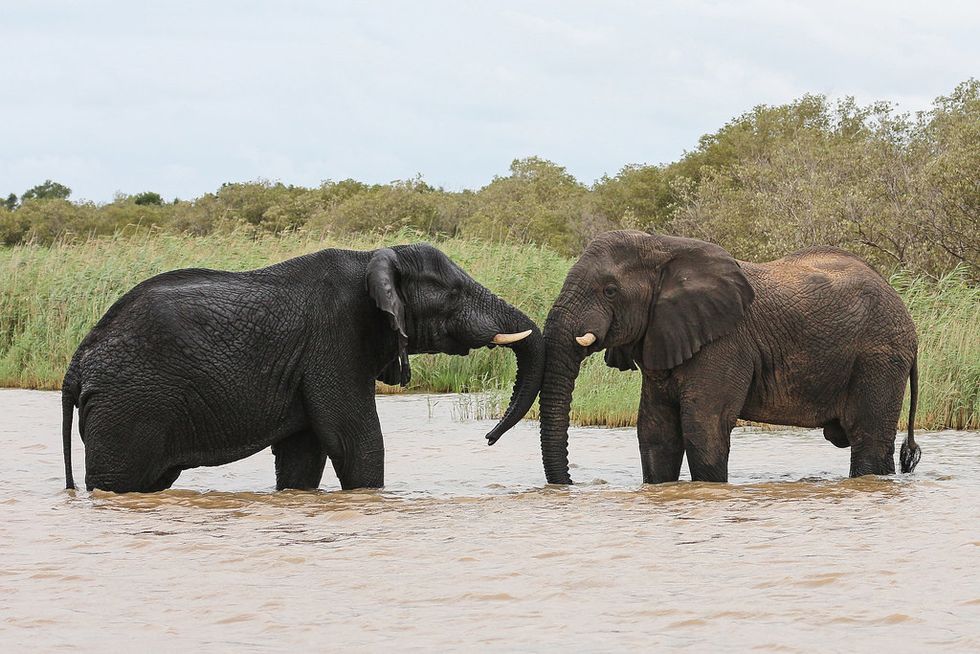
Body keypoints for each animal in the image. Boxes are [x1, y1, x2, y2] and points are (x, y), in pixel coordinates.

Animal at [61, 243, 544, 493]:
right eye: (453, 292)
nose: (488, 439)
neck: (373, 257)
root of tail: (77, 363)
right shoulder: (337, 338)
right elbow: (356, 440)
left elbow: (304, 454)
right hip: (129, 405)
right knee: (120, 478)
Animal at [528, 230, 920, 484]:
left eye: (609, 290)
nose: (570, 483)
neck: (664, 247)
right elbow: (655, 433)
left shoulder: (725, 342)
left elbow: (704, 428)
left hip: (880, 357)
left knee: (868, 441)